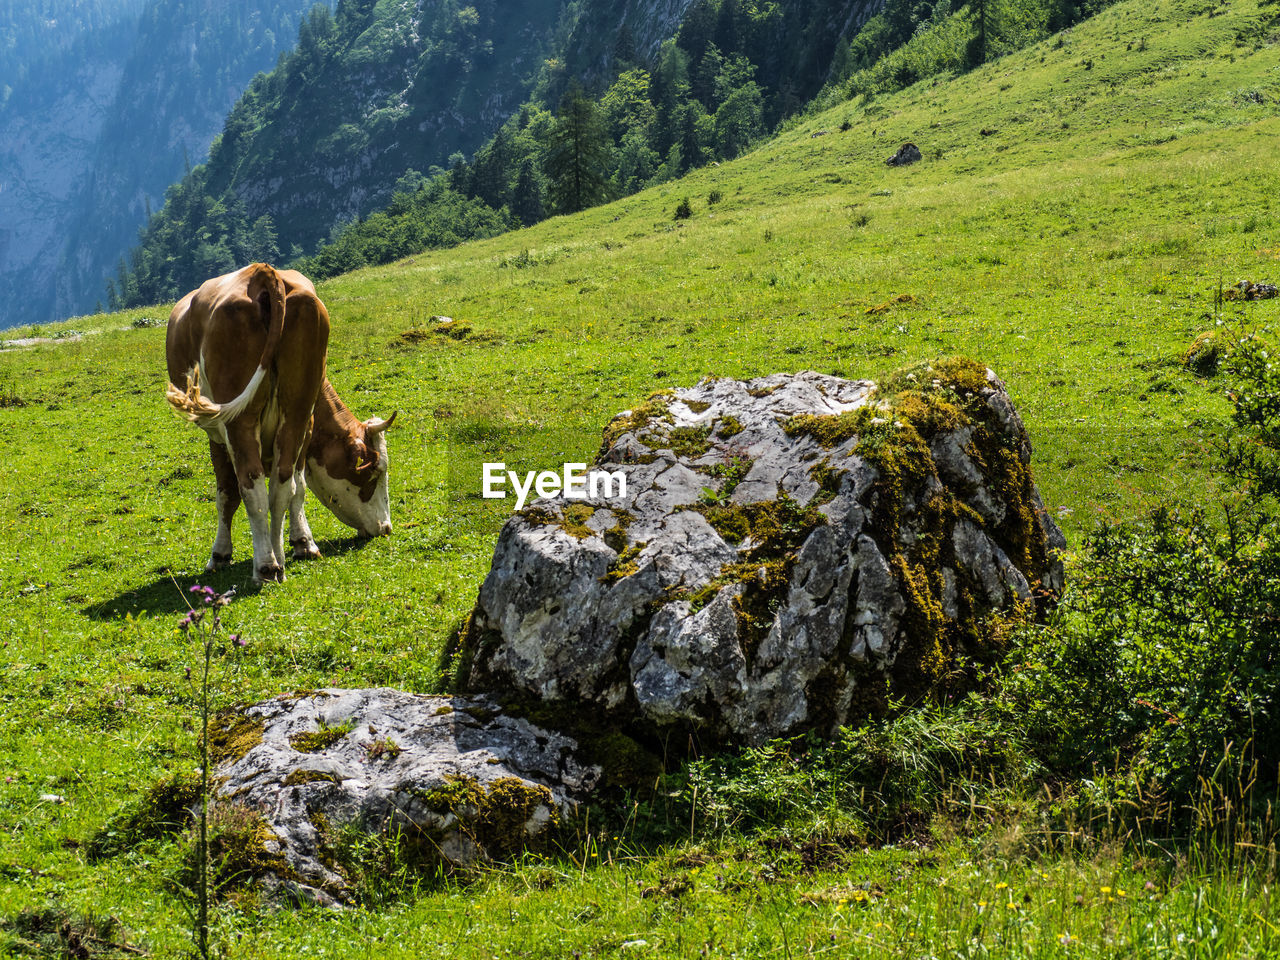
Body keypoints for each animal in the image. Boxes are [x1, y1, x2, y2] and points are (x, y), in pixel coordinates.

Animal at [165, 263, 394, 583]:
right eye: (374, 473)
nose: (386, 527)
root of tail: (262, 272)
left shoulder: (219, 436)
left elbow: (227, 494)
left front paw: (219, 555)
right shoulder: (306, 427)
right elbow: (298, 488)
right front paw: (303, 543)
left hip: (240, 421)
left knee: (253, 489)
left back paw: (266, 566)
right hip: (295, 410)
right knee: (281, 486)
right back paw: (279, 560)